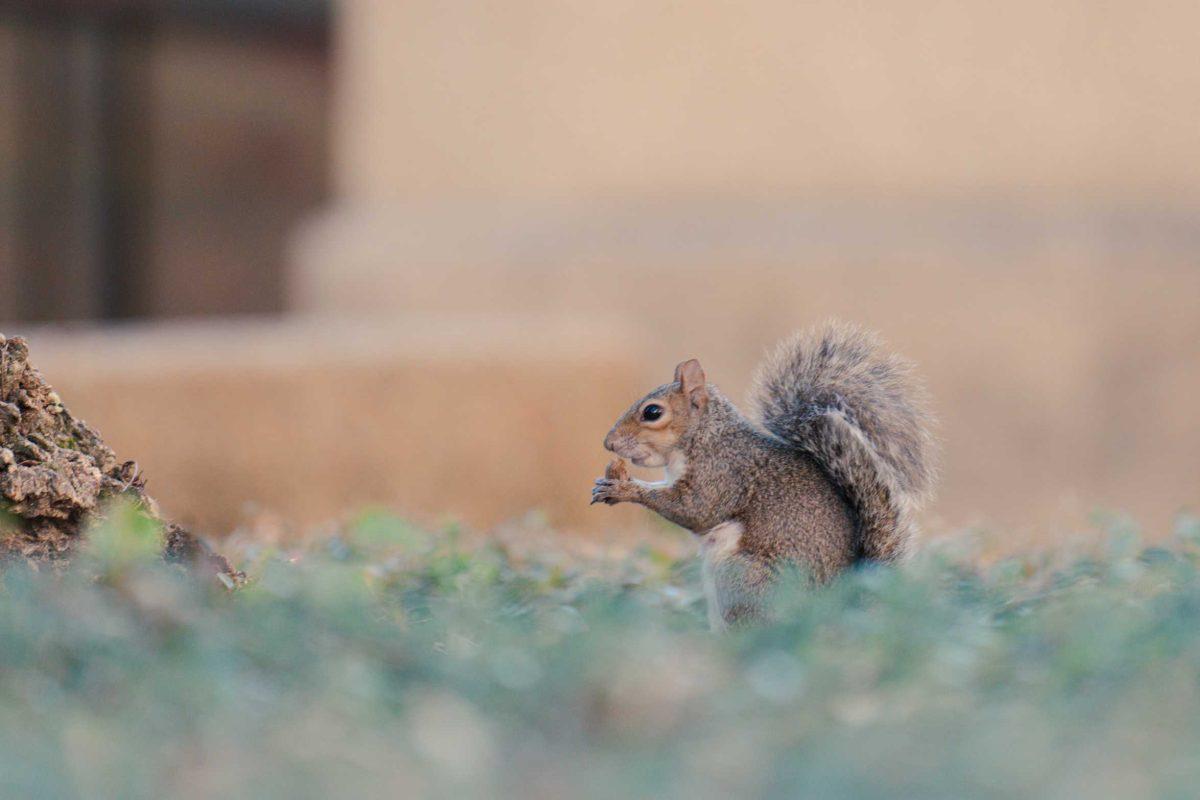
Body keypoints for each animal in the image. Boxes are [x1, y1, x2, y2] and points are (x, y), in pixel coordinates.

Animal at [590, 321, 936, 633]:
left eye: (652, 412)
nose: (608, 443)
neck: (705, 436)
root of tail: (833, 613)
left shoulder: (722, 473)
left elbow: (695, 509)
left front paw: (624, 489)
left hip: (741, 577)